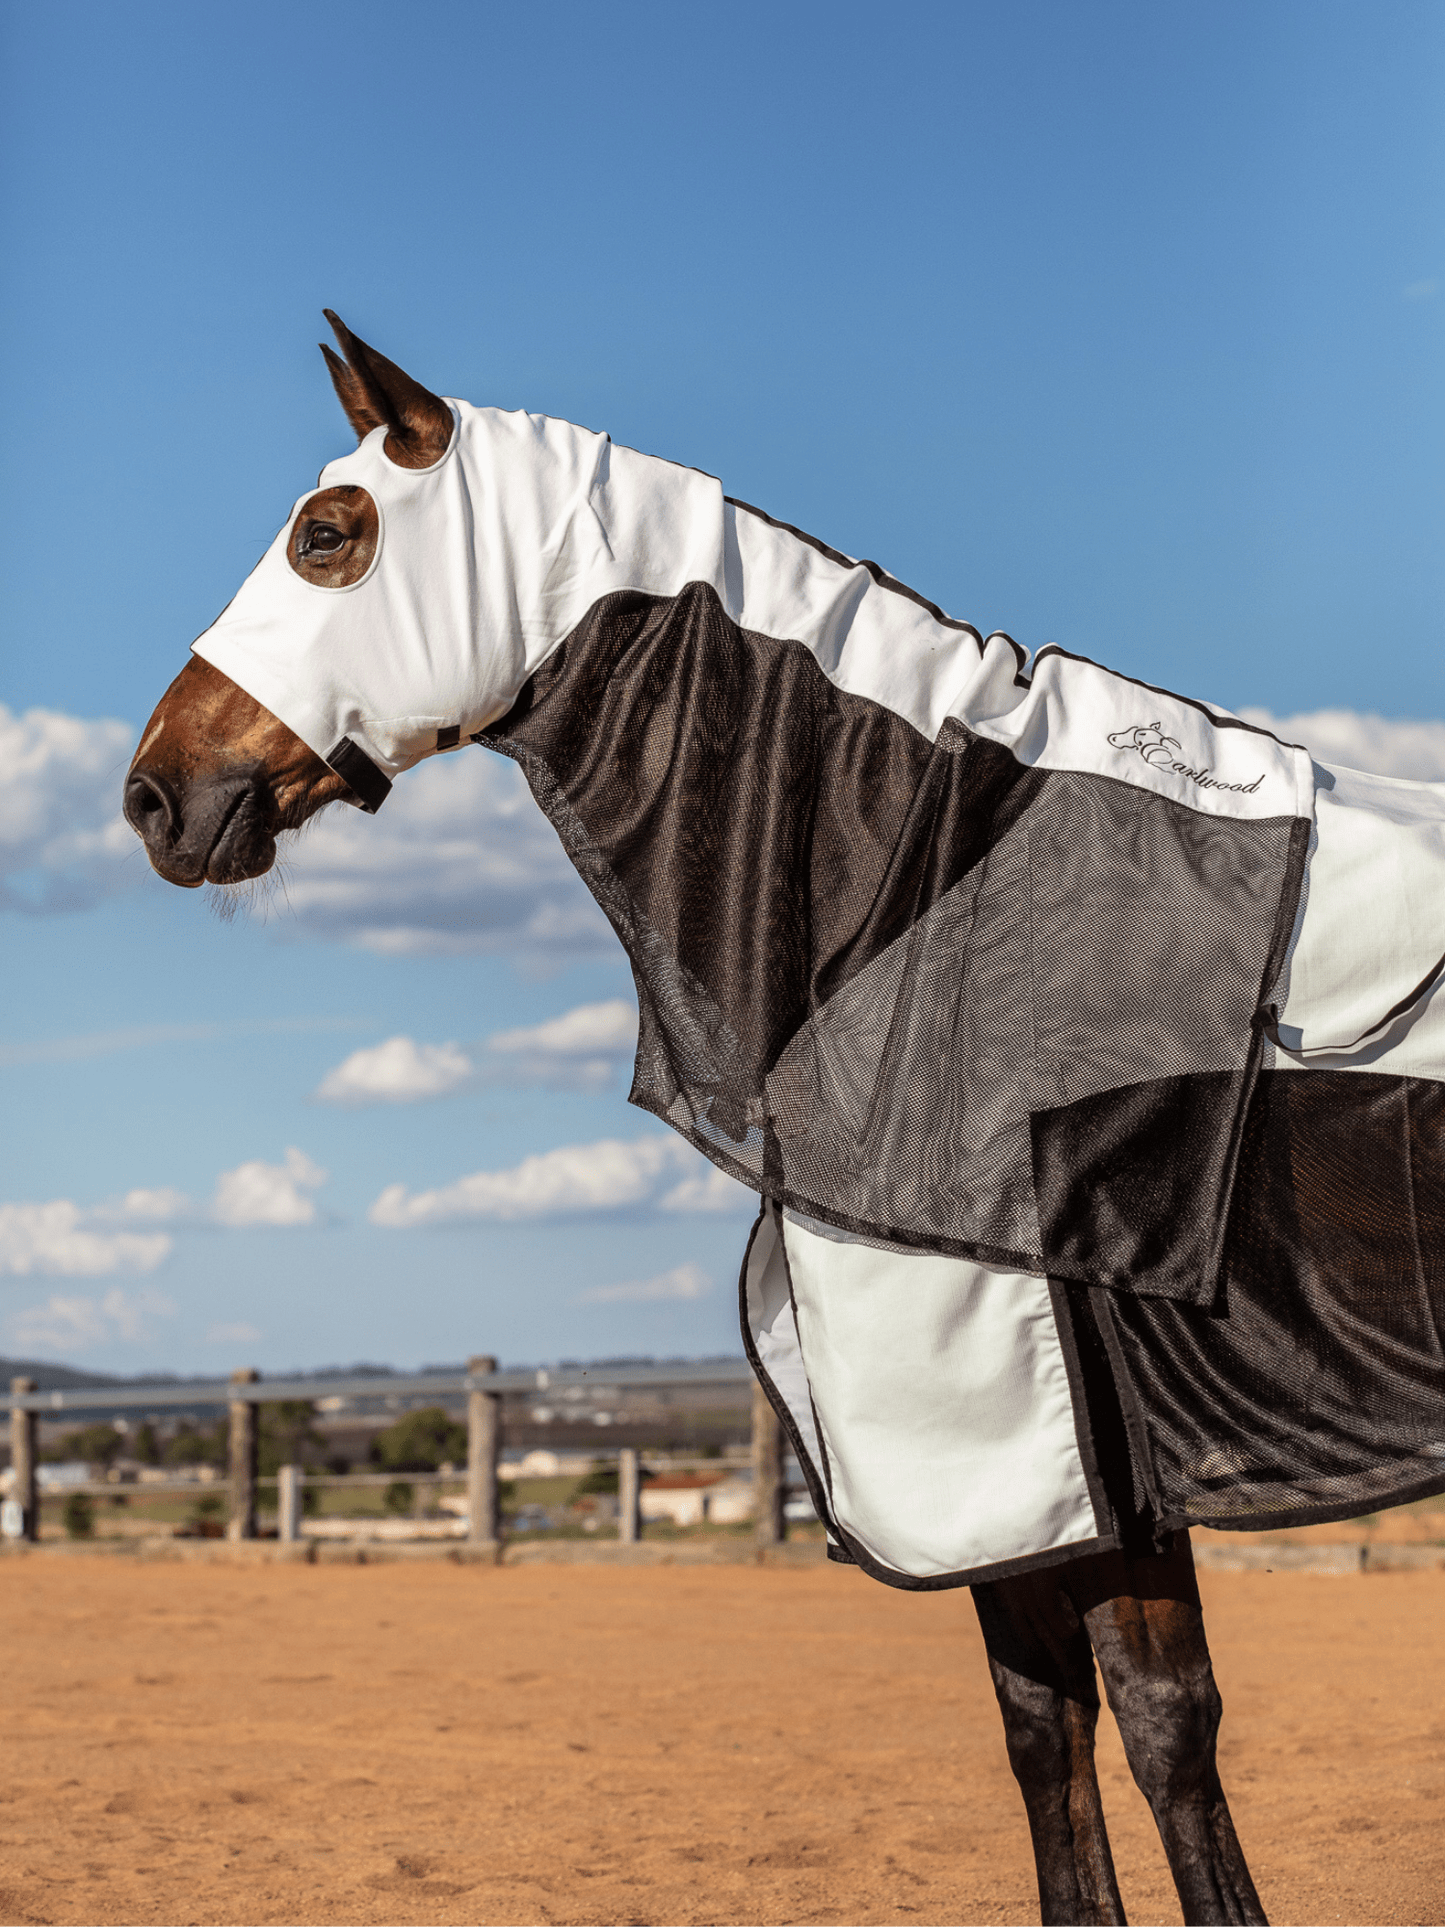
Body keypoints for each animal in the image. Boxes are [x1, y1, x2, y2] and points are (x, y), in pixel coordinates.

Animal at [124, 308, 1445, 1919]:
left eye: (328, 534)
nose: (152, 794)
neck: (938, 887)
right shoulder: (982, 1467)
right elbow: (1043, 1729)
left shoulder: (1083, 1454)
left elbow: (1160, 1727)